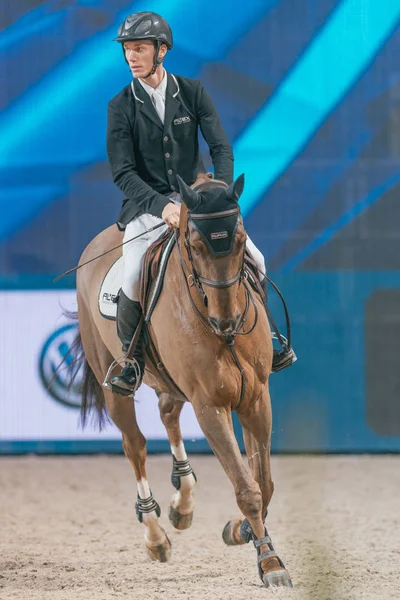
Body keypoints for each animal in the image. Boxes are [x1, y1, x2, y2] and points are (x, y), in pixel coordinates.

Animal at [71, 172, 290, 584]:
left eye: (240, 240)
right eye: (194, 245)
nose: (226, 322)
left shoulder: (255, 397)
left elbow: (263, 482)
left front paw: (242, 530)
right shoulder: (210, 404)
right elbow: (246, 486)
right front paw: (271, 563)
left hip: (170, 383)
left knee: (168, 414)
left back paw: (183, 501)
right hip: (114, 384)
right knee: (135, 445)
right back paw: (155, 535)